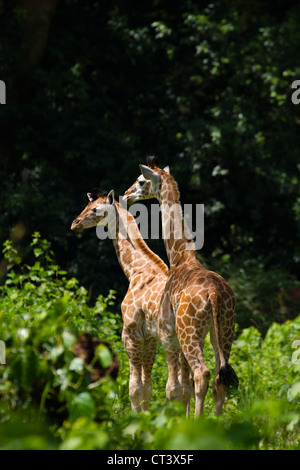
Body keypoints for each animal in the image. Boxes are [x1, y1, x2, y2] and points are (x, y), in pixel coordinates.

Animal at [71, 187, 182, 412]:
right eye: (86, 205)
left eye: (95, 209)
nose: (75, 224)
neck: (136, 271)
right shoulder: (149, 337)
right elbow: (147, 387)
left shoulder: (130, 333)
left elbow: (134, 388)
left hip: (171, 339)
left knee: (175, 387)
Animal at [123, 157, 238, 414]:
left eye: (141, 180)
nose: (126, 195)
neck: (179, 257)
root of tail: (214, 293)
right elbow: (184, 387)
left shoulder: (168, 331)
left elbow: (174, 388)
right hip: (223, 330)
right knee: (219, 379)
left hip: (190, 331)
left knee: (202, 374)